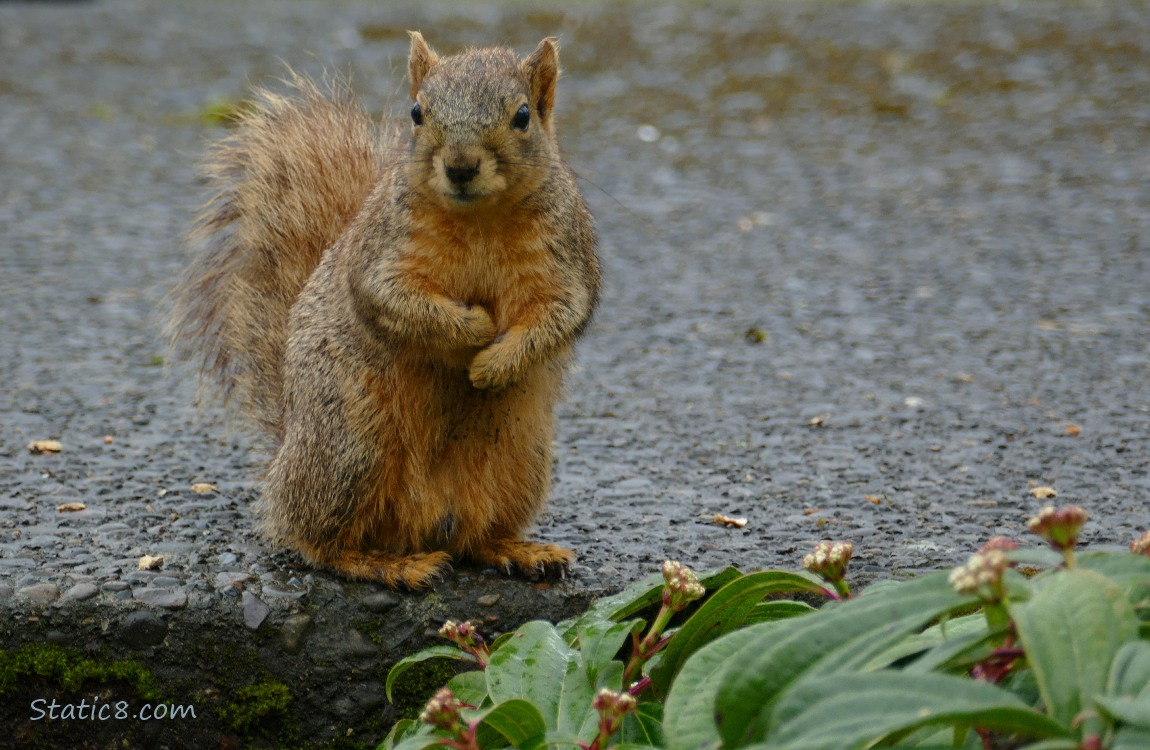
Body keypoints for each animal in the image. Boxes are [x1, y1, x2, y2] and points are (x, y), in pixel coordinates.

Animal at [169, 32, 600, 589]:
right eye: (417, 111)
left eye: (523, 116)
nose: (460, 166)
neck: (479, 218)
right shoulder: (381, 256)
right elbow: (396, 302)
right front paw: (474, 327)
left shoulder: (565, 261)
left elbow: (558, 316)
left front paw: (493, 365)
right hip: (352, 448)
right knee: (316, 540)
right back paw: (385, 564)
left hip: (521, 460)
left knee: (476, 538)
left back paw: (521, 551)